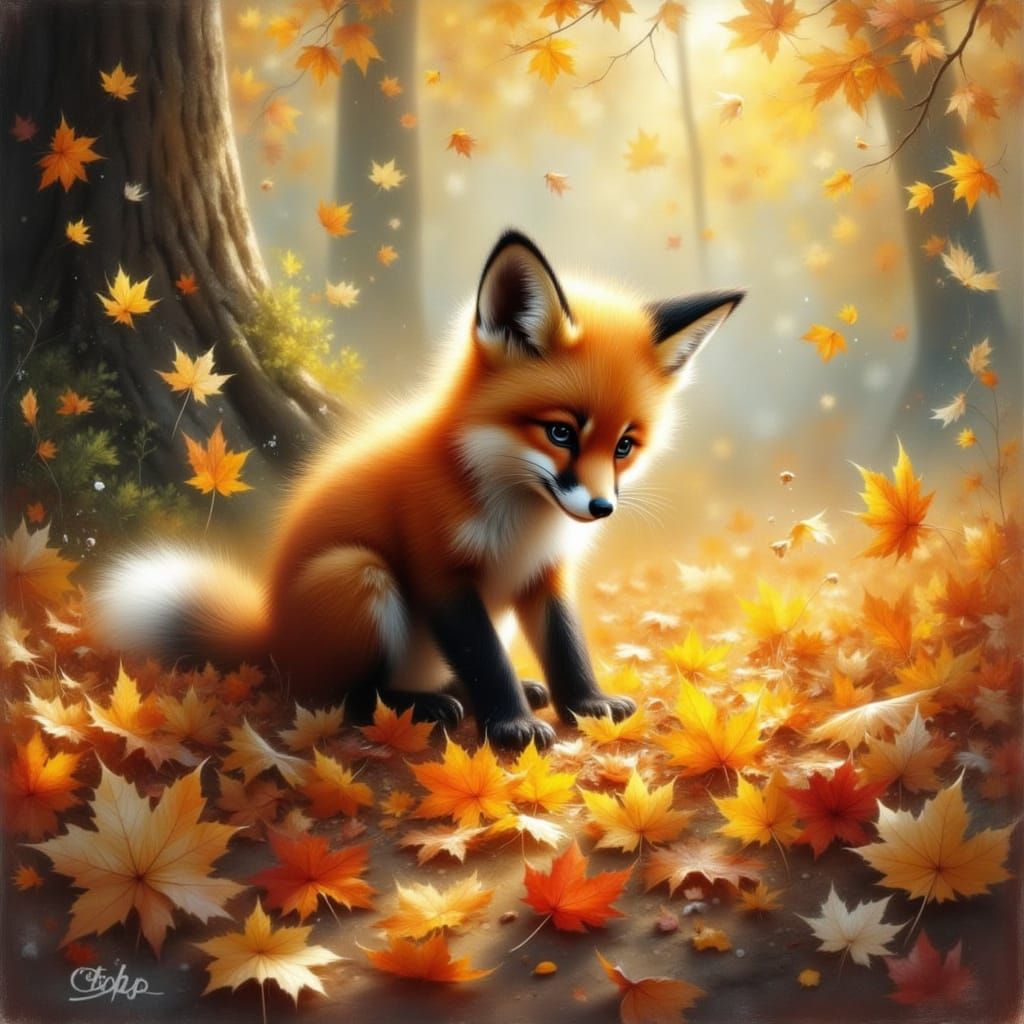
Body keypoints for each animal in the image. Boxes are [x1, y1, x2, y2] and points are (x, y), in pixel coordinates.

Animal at [93, 230, 743, 750]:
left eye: (624, 445)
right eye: (561, 432)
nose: (602, 507)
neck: (517, 513)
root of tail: (270, 636)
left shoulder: (544, 574)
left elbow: (566, 647)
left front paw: (585, 706)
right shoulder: (441, 572)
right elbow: (485, 659)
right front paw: (509, 725)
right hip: (357, 575)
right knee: (338, 699)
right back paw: (419, 708)